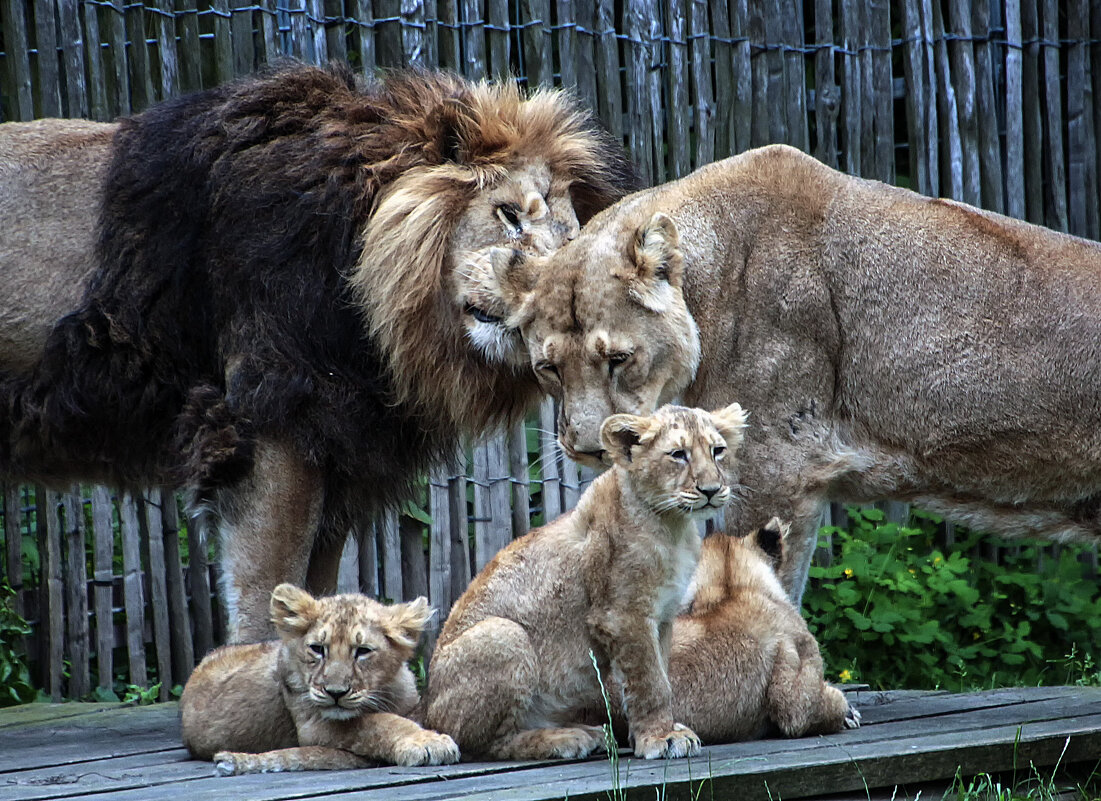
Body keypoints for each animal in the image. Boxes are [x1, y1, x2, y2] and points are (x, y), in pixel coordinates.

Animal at [0, 61, 634, 642]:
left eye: (570, 239)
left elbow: (315, 591)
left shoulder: (337, 448)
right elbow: (267, 604)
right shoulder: (266, 427)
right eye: (508, 214)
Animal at [180, 585, 455, 774]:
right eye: (317, 649)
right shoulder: (313, 725)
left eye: (363, 651)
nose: (335, 693)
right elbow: (377, 723)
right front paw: (428, 742)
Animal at [420, 402, 748, 761]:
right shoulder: (623, 615)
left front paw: (662, 730)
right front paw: (661, 738)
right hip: (504, 634)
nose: (711, 490)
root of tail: (427, 710)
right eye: (678, 454)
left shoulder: (662, 617)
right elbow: (651, 682)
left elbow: (661, 674)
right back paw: (566, 739)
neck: (673, 526)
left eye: (717, 451)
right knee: (486, 744)